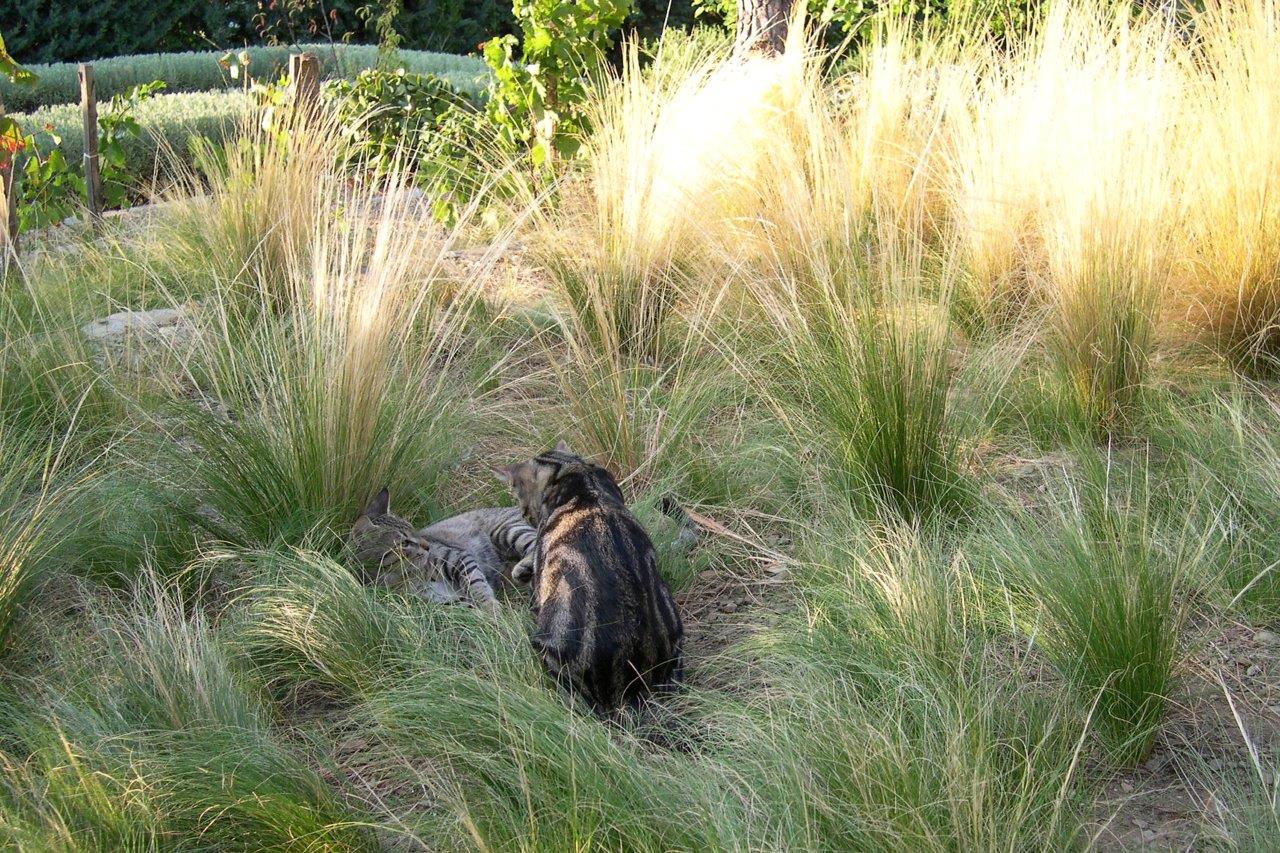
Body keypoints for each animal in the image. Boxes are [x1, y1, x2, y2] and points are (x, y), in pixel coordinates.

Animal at [349, 488, 536, 608]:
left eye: (413, 528)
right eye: (405, 543)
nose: (427, 546)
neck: (404, 578)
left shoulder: (458, 558)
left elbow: (476, 584)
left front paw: (490, 608)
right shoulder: (444, 601)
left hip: (506, 531)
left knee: (535, 546)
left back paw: (522, 570)